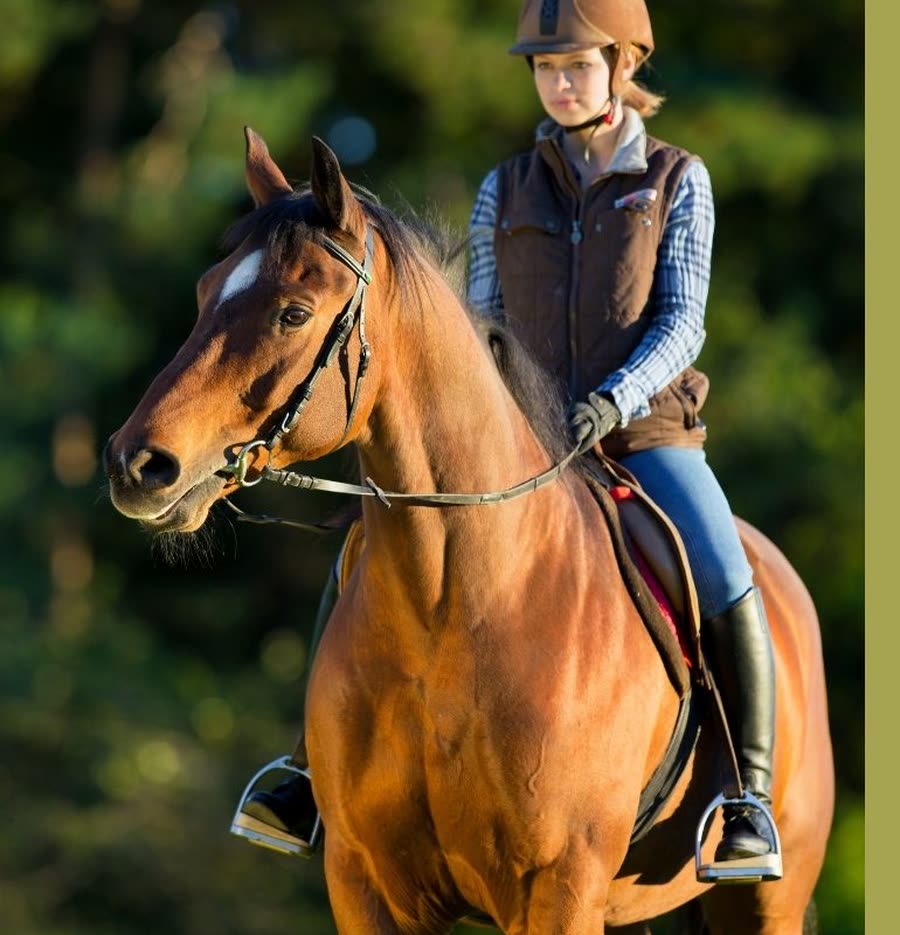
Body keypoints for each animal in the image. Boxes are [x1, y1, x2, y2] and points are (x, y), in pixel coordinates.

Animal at [104, 128, 834, 934]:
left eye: (293, 313)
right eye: (207, 292)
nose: (136, 465)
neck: (452, 609)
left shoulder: (558, 886)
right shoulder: (367, 884)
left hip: (763, 900)